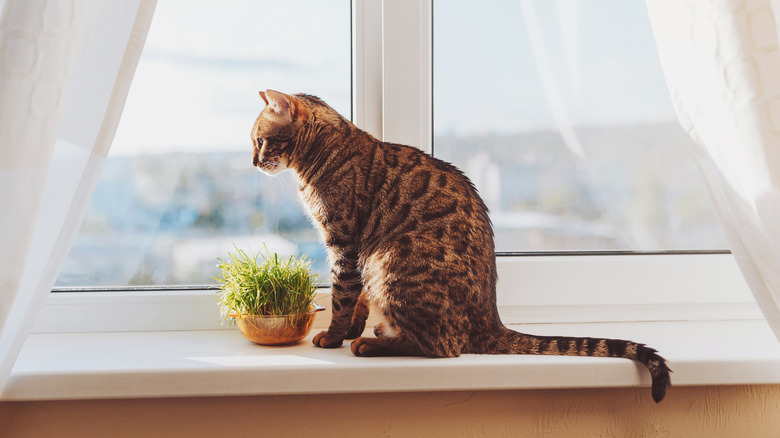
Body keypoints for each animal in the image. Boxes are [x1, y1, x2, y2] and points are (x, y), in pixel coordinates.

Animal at [251, 89, 672, 404]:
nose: (253, 162)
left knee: (442, 346)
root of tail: (491, 322)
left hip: (392, 262)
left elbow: (342, 295)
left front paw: (337, 336)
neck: (324, 152)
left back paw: (372, 344)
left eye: (260, 140)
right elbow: (358, 300)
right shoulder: (354, 252)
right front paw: (353, 327)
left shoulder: (345, 244)